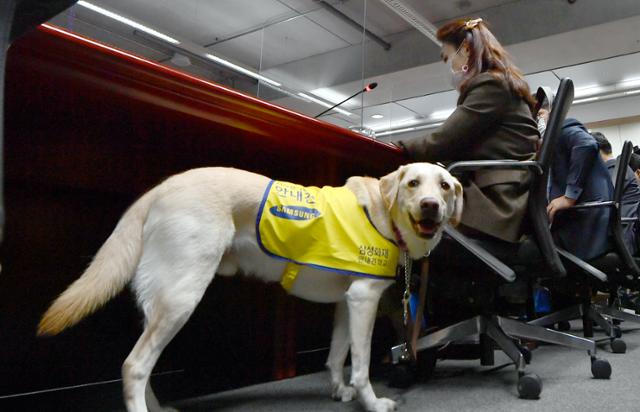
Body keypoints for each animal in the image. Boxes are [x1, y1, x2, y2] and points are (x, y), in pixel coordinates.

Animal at [38, 163, 460, 412]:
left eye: (444, 186)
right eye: (413, 184)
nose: (430, 205)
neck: (380, 211)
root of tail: (159, 188)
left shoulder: (346, 301)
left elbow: (337, 353)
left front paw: (340, 391)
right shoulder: (364, 299)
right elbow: (360, 363)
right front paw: (370, 401)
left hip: (162, 299)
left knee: (142, 363)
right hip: (182, 296)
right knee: (134, 365)